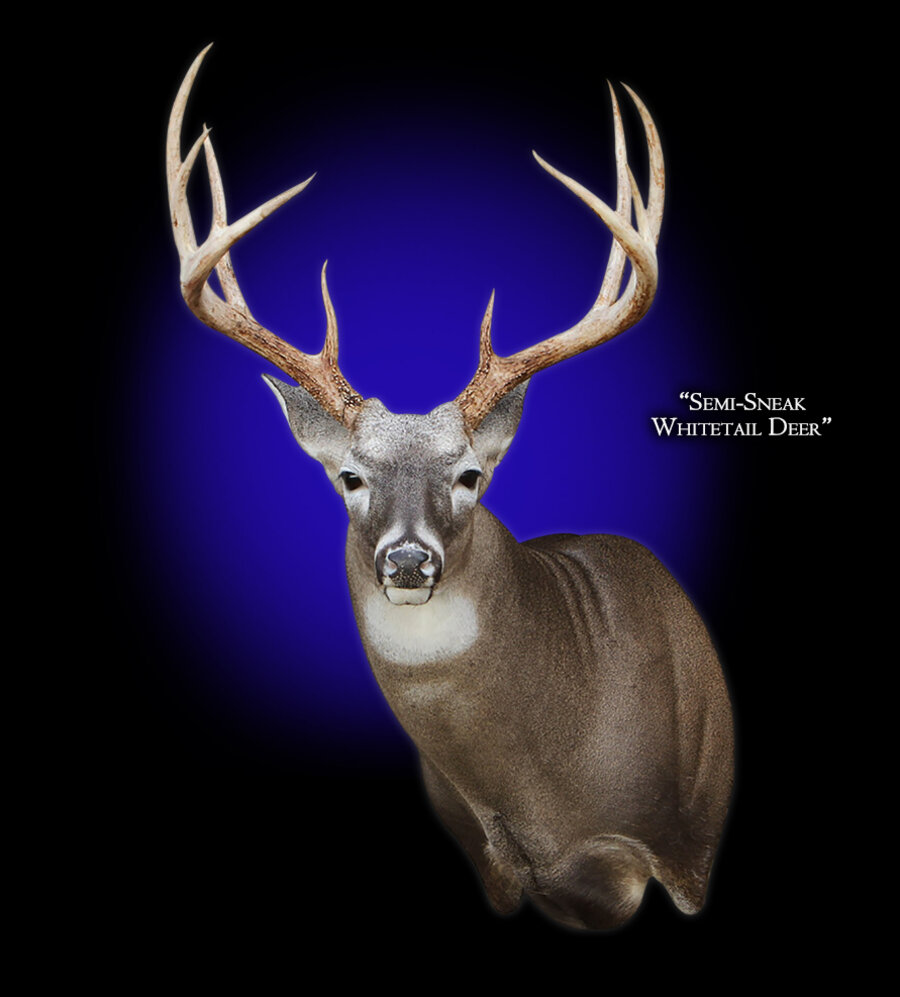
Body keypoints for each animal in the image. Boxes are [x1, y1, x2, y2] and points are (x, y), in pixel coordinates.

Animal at [166, 46, 734, 932]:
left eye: (470, 474)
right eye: (350, 475)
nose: (407, 562)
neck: (540, 791)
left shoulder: (684, 843)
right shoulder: (491, 860)